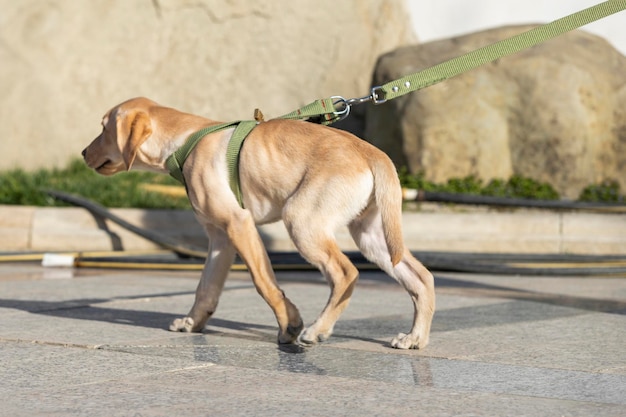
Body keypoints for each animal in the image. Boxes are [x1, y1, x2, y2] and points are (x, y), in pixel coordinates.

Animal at [81, 97, 434, 348]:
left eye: (103, 128)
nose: (83, 153)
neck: (186, 140)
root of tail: (372, 152)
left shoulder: (239, 223)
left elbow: (264, 282)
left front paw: (289, 325)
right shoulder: (219, 238)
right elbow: (206, 288)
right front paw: (193, 323)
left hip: (301, 220)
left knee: (346, 273)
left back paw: (317, 330)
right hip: (372, 236)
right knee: (421, 278)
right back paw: (415, 338)